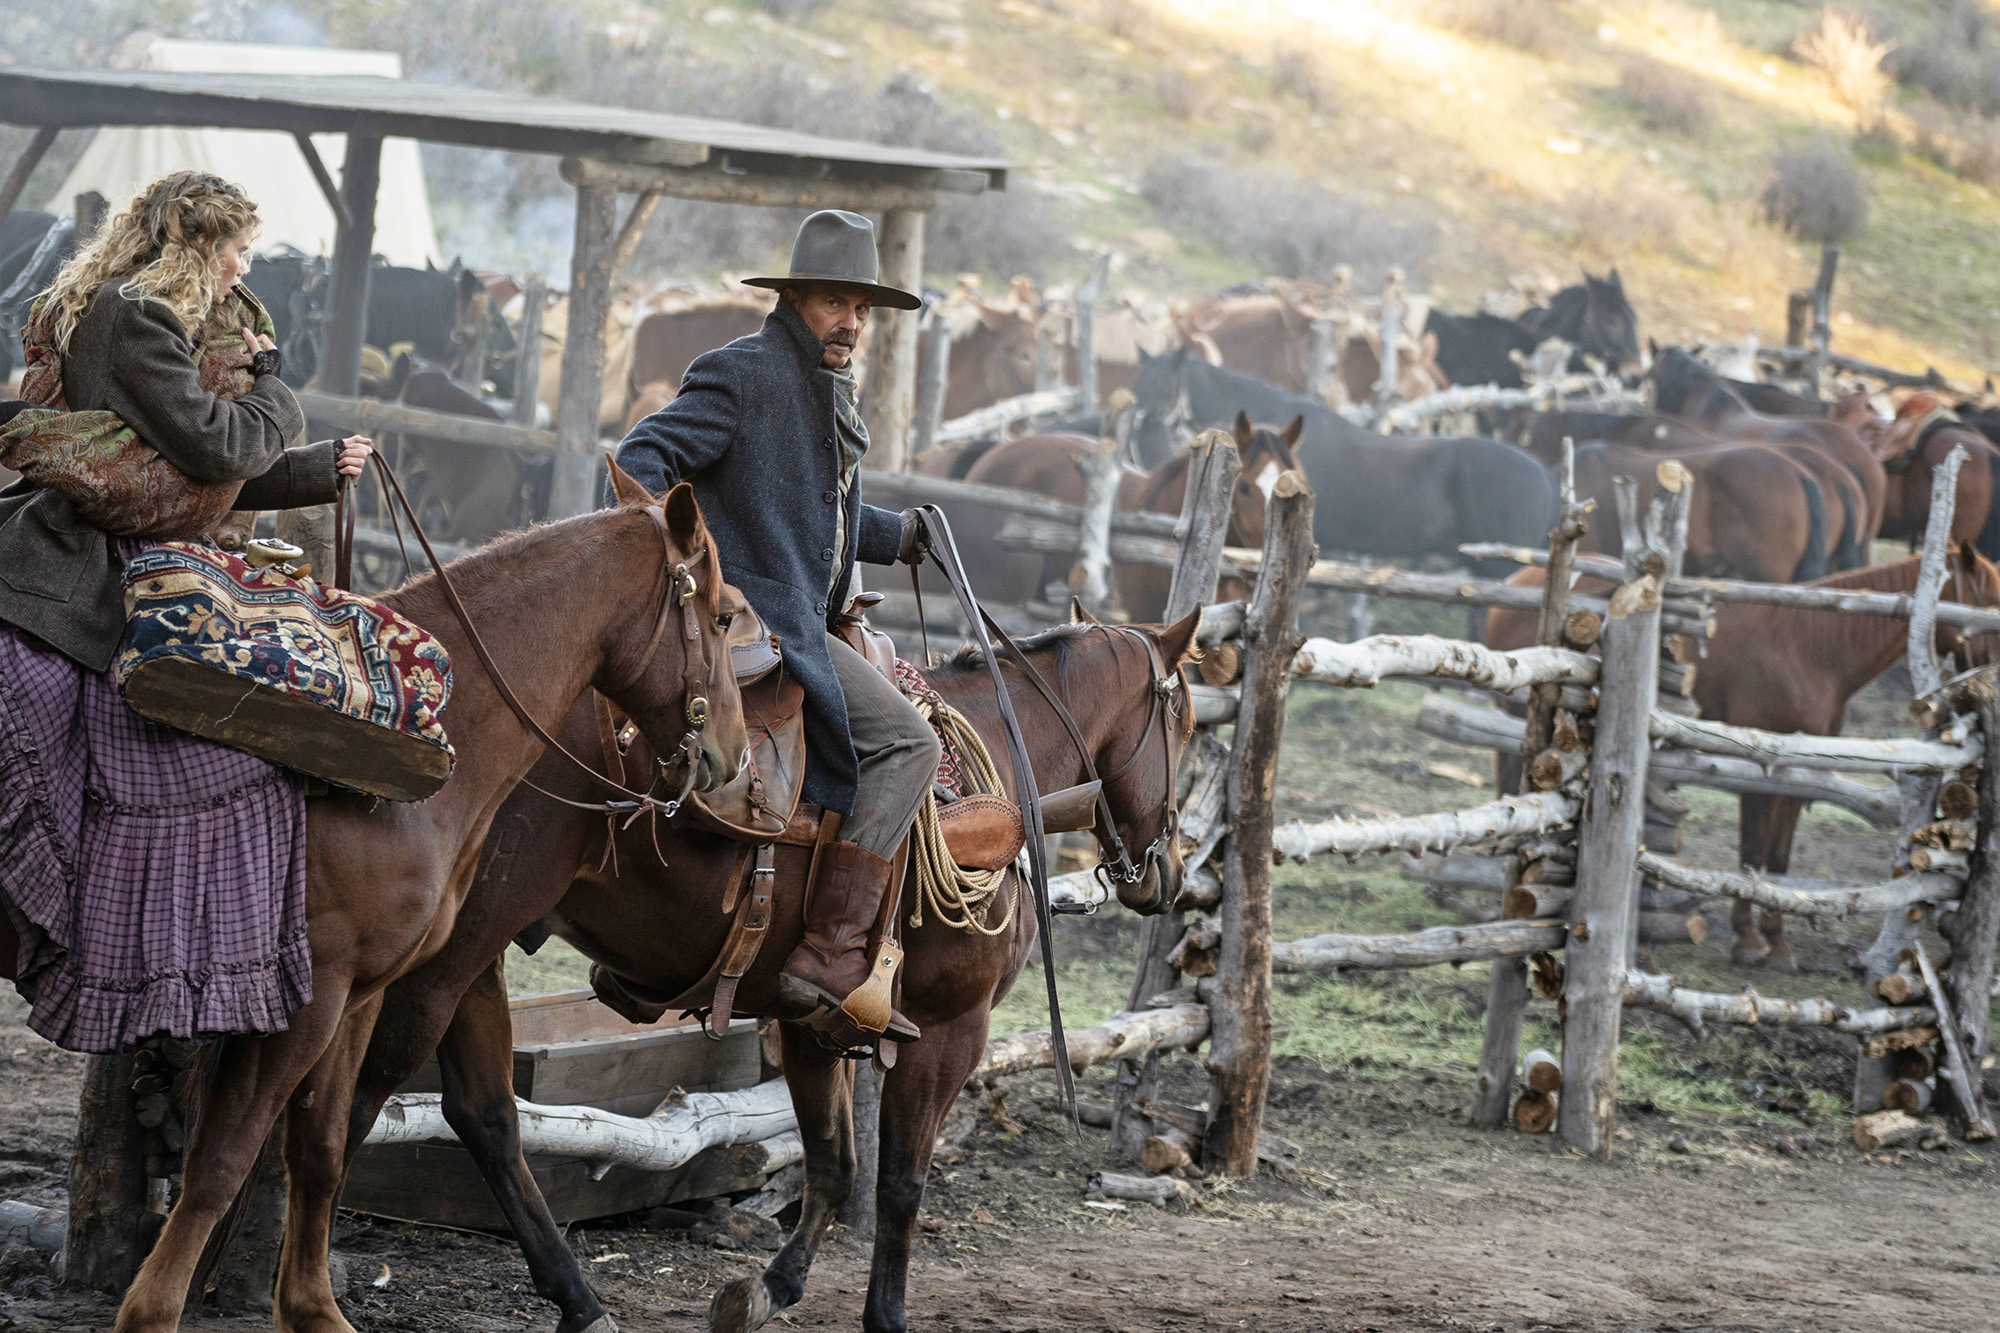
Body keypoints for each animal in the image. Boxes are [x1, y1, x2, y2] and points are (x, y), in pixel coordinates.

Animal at [3, 486, 752, 1328]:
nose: (734, 755)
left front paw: (311, 1307)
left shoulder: (357, 995)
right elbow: (224, 1155)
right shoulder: (312, 993)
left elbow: (322, 1147)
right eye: (725, 614)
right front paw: (153, 1310)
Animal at [332, 592, 1200, 1328]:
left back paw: (577, 1299)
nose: (1168, 870)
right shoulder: (954, 1028)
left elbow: (833, 1163)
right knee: (359, 1094)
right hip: (446, 957)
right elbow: (900, 1181)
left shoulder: (810, 1021)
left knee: (484, 1115)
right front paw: (885, 1313)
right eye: (1185, 724)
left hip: (472, 960)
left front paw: (772, 1286)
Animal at [1496, 544, 2000, 960]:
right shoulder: (1760, 769)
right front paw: (1751, 939)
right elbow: (1752, 853)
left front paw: (1775, 942)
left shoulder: (1800, 770)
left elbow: (1775, 858)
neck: (1809, 648)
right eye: (1990, 604)